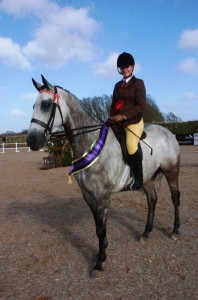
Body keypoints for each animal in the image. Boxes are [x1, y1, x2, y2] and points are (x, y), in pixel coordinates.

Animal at [27, 75, 181, 272]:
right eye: (33, 105)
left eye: (46, 104)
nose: (32, 140)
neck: (90, 142)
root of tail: (168, 132)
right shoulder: (88, 195)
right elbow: (97, 228)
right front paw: (102, 253)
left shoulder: (102, 196)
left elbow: (101, 228)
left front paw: (100, 260)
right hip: (147, 179)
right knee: (152, 201)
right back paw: (146, 233)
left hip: (171, 172)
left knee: (175, 198)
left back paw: (175, 230)